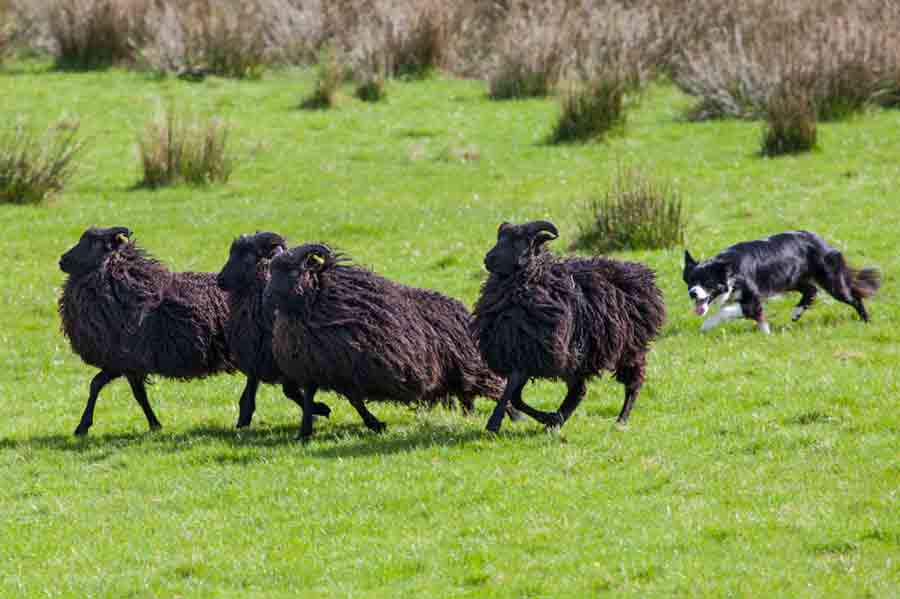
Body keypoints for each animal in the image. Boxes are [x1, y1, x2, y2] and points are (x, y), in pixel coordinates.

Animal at [58, 226, 234, 436]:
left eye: (93, 242)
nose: (62, 260)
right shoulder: (130, 365)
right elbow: (139, 395)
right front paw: (155, 424)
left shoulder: (123, 360)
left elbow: (95, 384)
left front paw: (82, 427)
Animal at [214, 232, 330, 428]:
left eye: (247, 257)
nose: (219, 279)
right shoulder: (256, 357)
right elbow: (248, 395)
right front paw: (242, 422)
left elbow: (289, 391)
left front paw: (319, 409)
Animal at [266, 241, 506, 438]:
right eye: (271, 268)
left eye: (293, 270)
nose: (267, 296)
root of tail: (462, 310)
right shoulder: (312, 368)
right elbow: (309, 399)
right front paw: (305, 431)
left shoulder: (347, 372)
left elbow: (355, 401)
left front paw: (375, 424)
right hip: (457, 375)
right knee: (467, 397)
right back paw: (470, 416)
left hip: (472, 367)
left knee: (491, 387)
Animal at [474, 220, 664, 432]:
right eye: (500, 237)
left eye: (518, 240)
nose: (488, 259)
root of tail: (641, 274)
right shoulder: (521, 352)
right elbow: (515, 397)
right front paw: (548, 418)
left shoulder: (531, 352)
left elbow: (512, 393)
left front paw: (494, 422)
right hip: (579, 357)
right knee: (579, 391)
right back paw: (557, 421)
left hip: (629, 348)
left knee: (633, 384)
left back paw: (620, 420)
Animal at [684, 231, 880, 332]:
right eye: (690, 281)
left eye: (707, 281)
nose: (692, 293)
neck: (730, 270)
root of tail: (824, 242)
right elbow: (758, 318)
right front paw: (765, 333)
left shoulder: (752, 298)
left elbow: (727, 311)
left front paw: (706, 326)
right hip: (792, 278)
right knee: (811, 290)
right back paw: (796, 313)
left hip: (831, 281)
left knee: (853, 298)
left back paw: (866, 321)